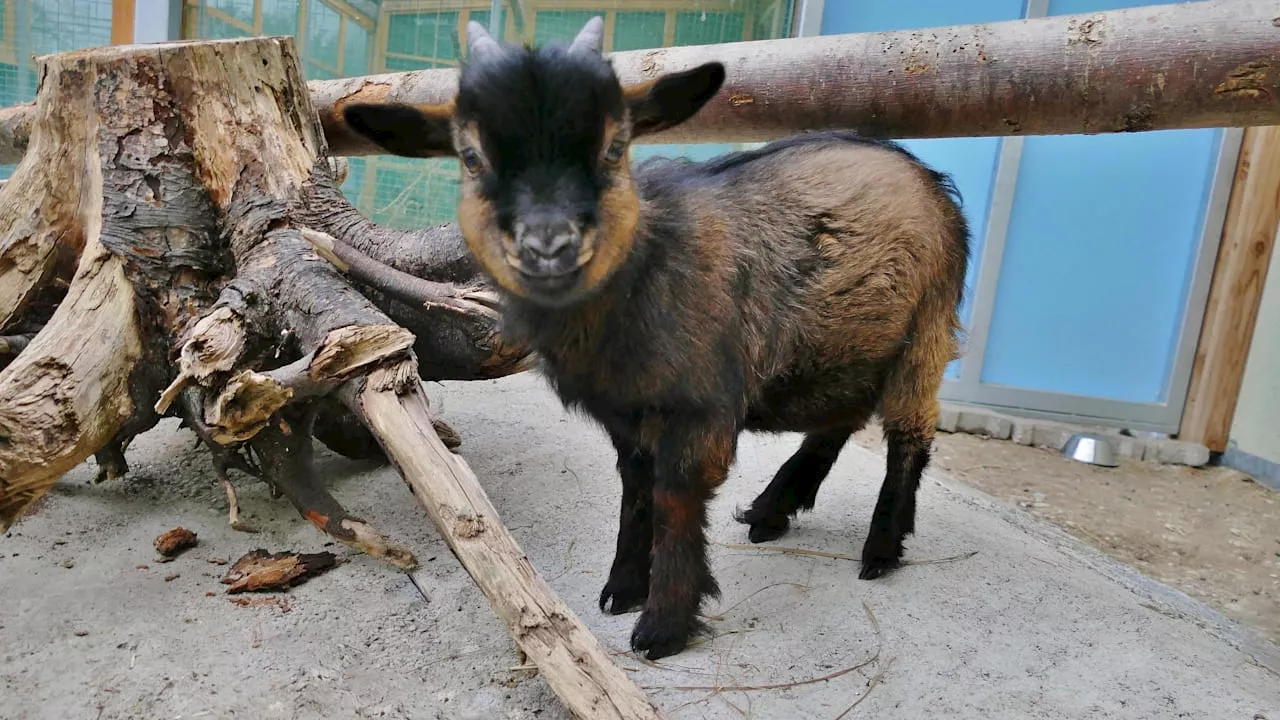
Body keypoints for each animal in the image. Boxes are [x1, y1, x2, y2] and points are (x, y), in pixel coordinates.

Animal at [340, 15, 967, 655]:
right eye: (471, 157)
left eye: (614, 147)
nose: (549, 246)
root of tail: (928, 177)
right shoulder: (627, 414)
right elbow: (635, 492)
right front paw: (621, 588)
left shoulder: (699, 410)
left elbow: (674, 498)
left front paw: (663, 623)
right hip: (841, 344)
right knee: (841, 417)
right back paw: (771, 511)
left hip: (927, 328)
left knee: (909, 432)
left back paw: (880, 549)